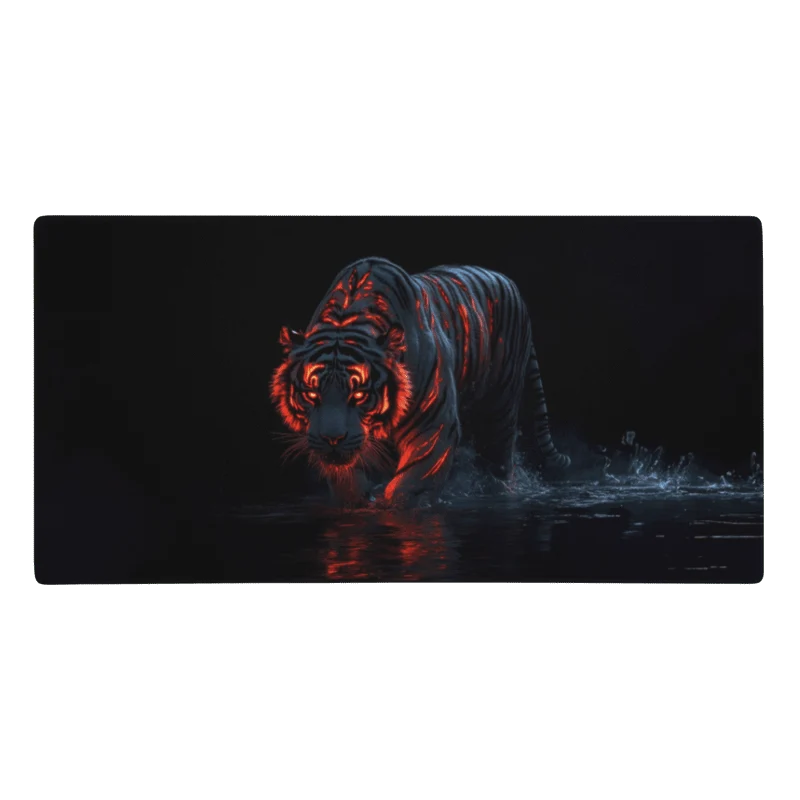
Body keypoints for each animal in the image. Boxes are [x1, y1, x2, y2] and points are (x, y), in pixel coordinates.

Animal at [271, 257, 570, 508]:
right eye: (311, 394)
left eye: (359, 395)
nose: (332, 439)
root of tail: (510, 282)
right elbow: (348, 482)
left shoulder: (434, 425)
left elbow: (411, 485)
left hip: (500, 409)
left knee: (499, 461)